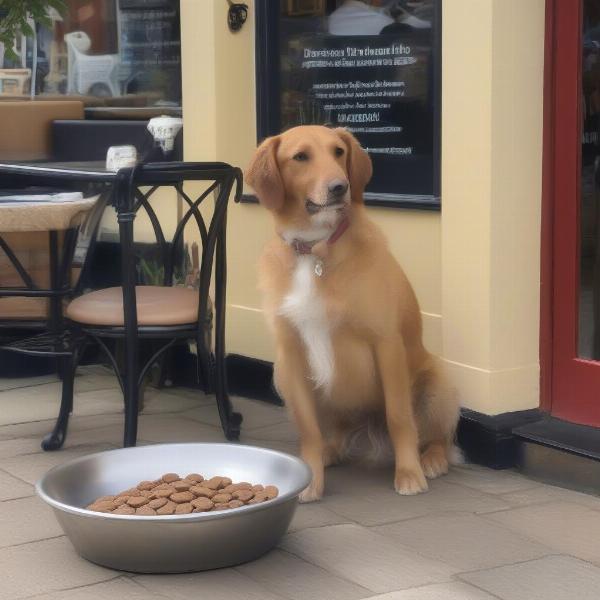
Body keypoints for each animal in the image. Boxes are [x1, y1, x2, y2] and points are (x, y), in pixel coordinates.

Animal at [246, 124, 458, 500]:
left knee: (437, 436)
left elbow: (399, 417)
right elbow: (309, 430)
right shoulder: (291, 354)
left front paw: (408, 474)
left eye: (338, 152)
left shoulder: (386, 344)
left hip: (438, 383)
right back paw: (330, 450)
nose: (339, 188)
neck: (314, 250)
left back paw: (432, 459)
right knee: (335, 433)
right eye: (300, 157)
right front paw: (311, 478)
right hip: (283, 377)